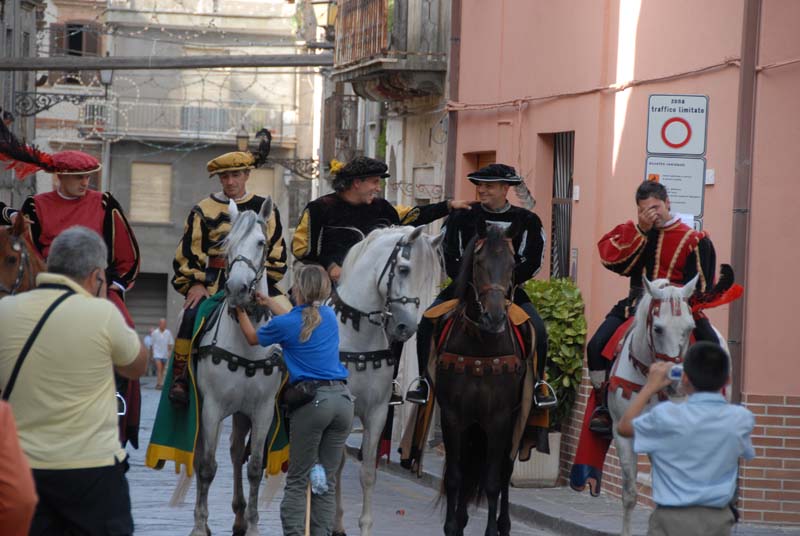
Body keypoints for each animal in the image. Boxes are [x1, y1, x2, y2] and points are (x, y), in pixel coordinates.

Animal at [191, 200, 284, 536]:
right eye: (227, 245)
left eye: (261, 242)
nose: (237, 288)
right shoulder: (211, 407)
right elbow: (206, 466)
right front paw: (200, 525)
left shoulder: (263, 411)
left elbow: (255, 467)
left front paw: (254, 524)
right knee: (208, 458)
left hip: (243, 414)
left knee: (234, 453)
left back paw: (241, 518)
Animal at [330, 226, 444, 536]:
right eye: (403, 269)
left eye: (429, 278)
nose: (406, 327)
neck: (357, 339)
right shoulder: (343, 411)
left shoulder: (377, 412)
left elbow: (368, 472)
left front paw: (363, 526)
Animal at [438, 223, 532, 536]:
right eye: (478, 263)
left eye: (512, 264)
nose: (495, 317)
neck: (480, 344)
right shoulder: (453, 416)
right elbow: (455, 476)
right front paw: (452, 525)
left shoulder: (499, 418)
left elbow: (492, 482)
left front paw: (491, 529)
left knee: (504, 472)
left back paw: (503, 524)